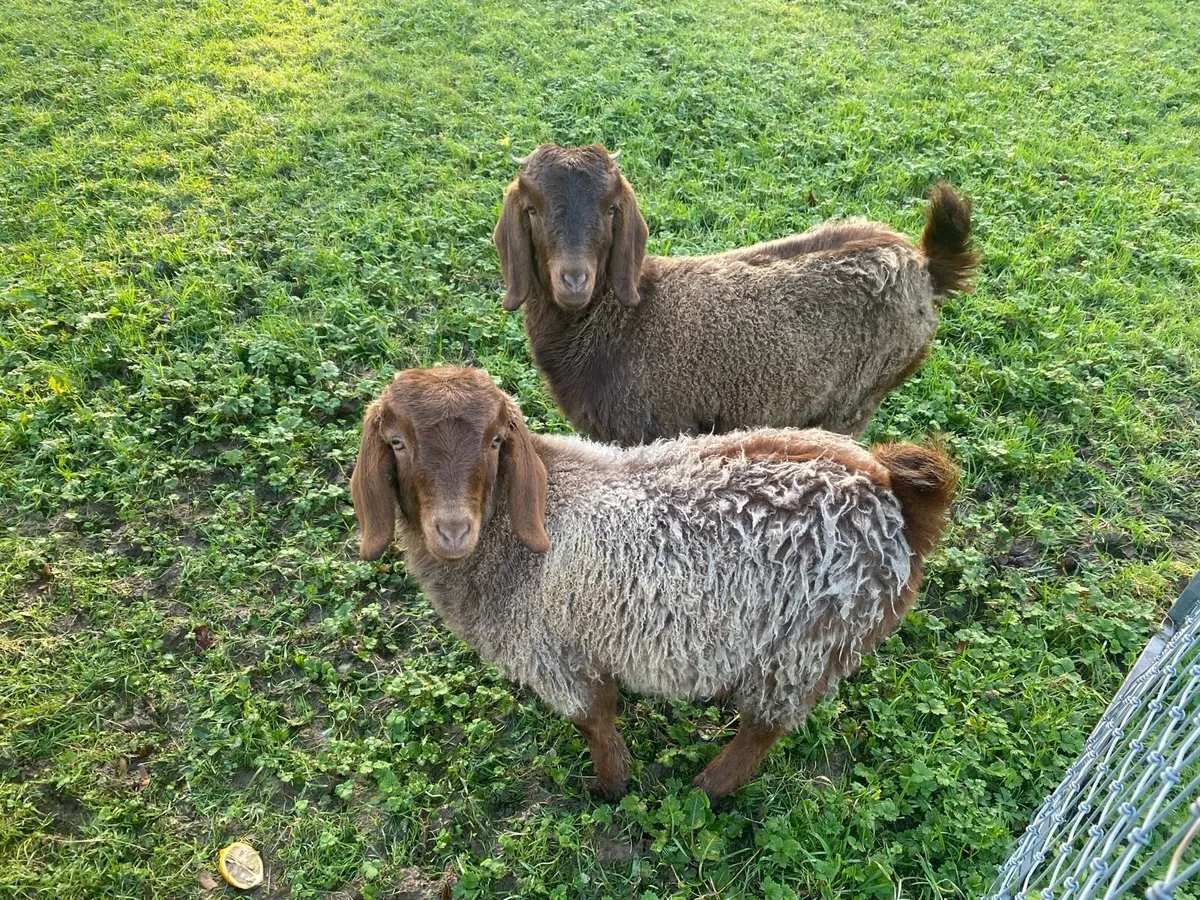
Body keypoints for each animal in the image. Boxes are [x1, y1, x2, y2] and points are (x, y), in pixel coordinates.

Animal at [351, 366, 958, 800]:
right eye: (397, 442)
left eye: (497, 441)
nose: (453, 530)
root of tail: (894, 496)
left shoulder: (556, 655)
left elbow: (594, 722)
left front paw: (610, 788)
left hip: (808, 644)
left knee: (765, 726)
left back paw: (709, 787)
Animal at [494, 144, 978, 444]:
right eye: (531, 209)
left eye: (612, 208)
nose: (574, 280)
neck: (622, 321)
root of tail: (924, 265)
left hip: (857, 396)